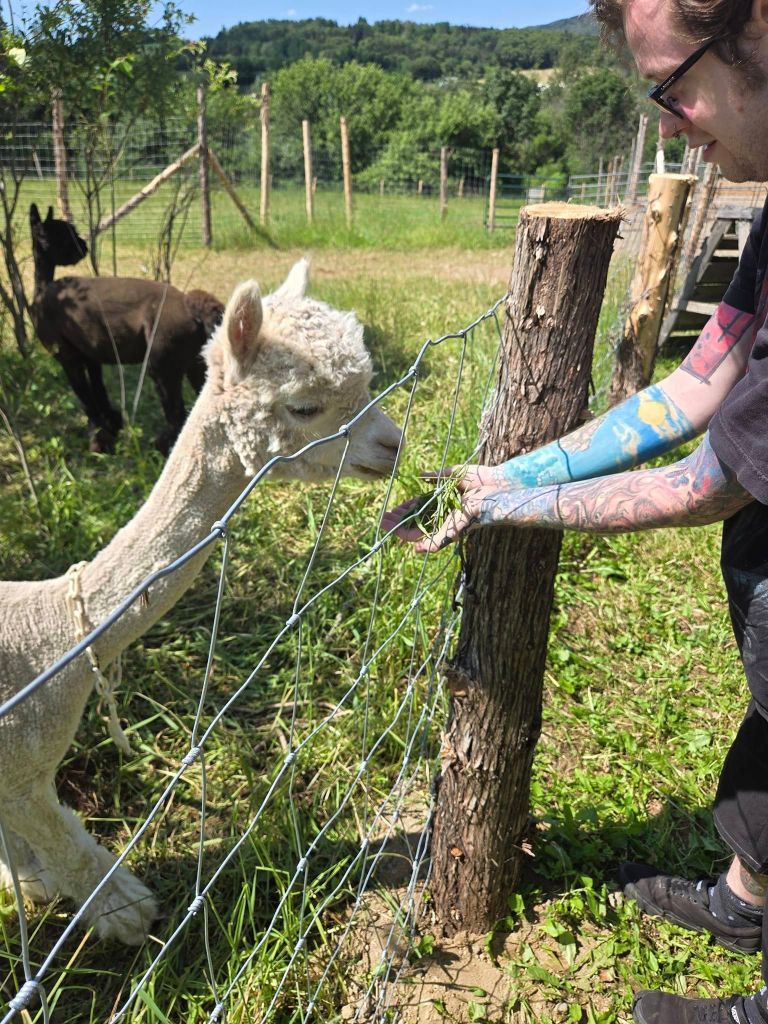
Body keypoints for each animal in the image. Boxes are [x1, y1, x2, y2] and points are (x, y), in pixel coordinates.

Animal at [0, 259, 402, 945]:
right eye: (304, 406)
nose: (393, 443)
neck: (50, 639)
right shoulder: (19, 769)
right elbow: (64, 845)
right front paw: (124, 910)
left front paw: (27, 883)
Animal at [29, 203, 224, 455]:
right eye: (64, 233)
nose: (82, 246)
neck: (42, 292)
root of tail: (190, 305)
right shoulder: (90, 353)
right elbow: (98, 390)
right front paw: (111, 428)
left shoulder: (66, 354)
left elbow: (85, 397)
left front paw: (98, 441)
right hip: (195, 361)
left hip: (163, 362)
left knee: (177, 415)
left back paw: (162, 447)